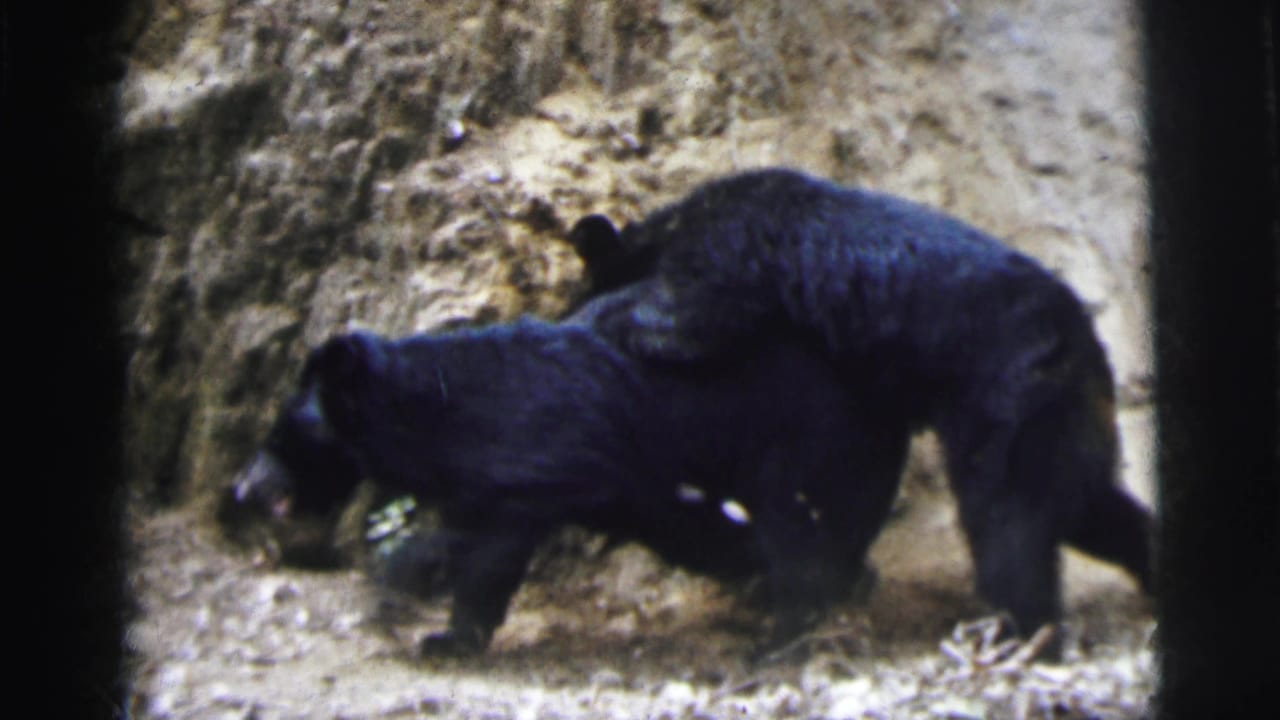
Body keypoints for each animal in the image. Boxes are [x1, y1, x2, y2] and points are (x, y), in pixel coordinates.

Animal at [232, 305, 911, 657]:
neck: (437, 416)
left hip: (797, 443)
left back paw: (783, 634)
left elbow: (490, 547)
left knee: (791, 529)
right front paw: (447, 629)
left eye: (280, 438)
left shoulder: (536, 459)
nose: (241, 489)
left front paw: (419, 606)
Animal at [566, 167, 1154, 646]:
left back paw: (1020, 633)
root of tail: (1080, 340)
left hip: (1006, 395)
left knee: (1011, 521)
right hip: (1064, 415)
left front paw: (596, 317)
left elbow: (687, 315)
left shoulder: (729, 248)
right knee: (1084, 504)